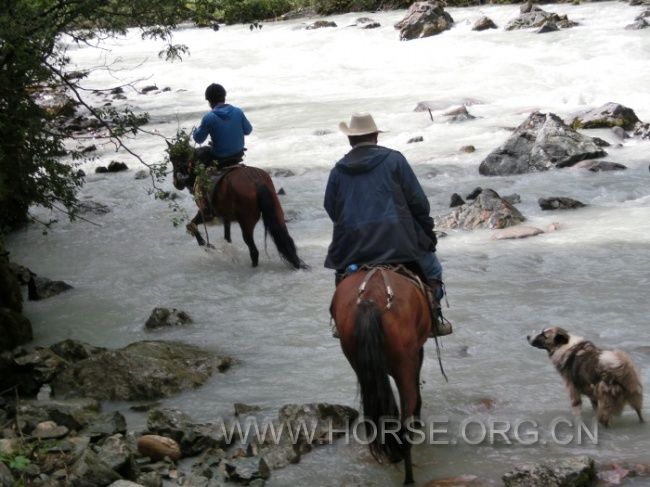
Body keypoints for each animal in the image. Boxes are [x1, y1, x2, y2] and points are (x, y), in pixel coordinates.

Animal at [170, 149, 306, 270]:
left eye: (173, 160)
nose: (176, 183)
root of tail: (255, 181)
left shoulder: (206, 213)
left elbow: (190, 225)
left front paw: (206, 245)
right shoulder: (225, 217)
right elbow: (227, 237)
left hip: (246, 223)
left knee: (254, 251)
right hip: (277, 213)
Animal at [330, 268, 430, 486]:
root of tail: (371, 298)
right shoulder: (416, 352)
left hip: (358, 361)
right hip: (404, 364)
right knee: (405, 418)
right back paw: (408, 477)